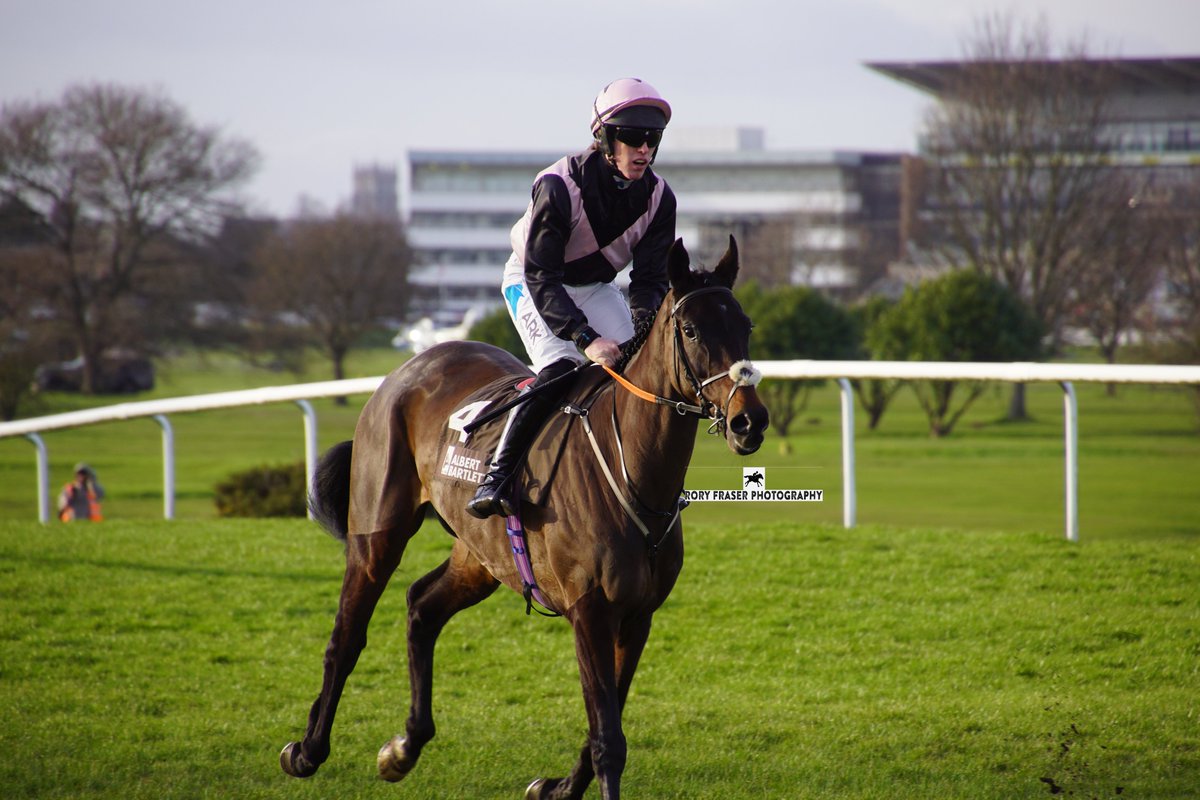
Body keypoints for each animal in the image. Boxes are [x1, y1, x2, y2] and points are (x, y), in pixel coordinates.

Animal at [278, 235, 768, 796]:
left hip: (481, 556)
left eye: (745, 325)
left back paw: (403, 747)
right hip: (377, 534)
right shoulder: (589, 611)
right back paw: (308, 749)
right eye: (690, 330)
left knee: (422, 605)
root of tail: (408, 368)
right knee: (347, 636)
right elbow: (608, 738)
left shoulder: (637, 616)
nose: (750, 421)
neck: (632, 474)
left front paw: (558, 787)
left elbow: (605, 725)